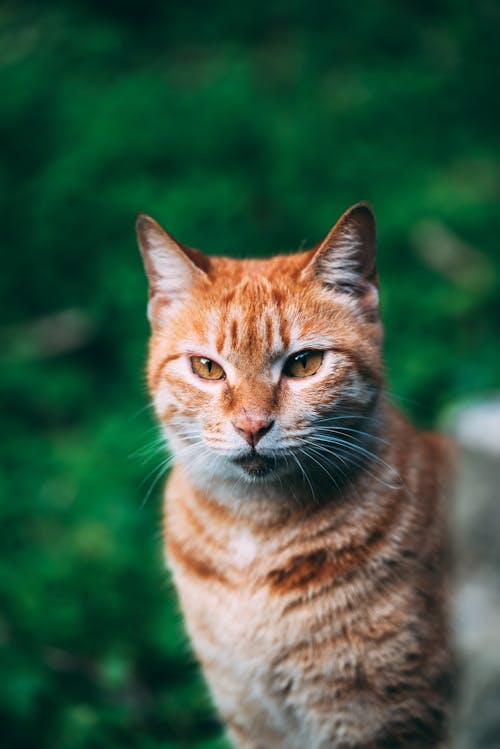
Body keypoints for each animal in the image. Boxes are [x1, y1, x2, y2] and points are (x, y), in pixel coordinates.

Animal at [136, 205, 454, 748]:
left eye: (304, 364)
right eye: (207, 368)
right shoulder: (254, 718)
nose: (251, 426)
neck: (254, 535)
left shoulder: (378, 721)